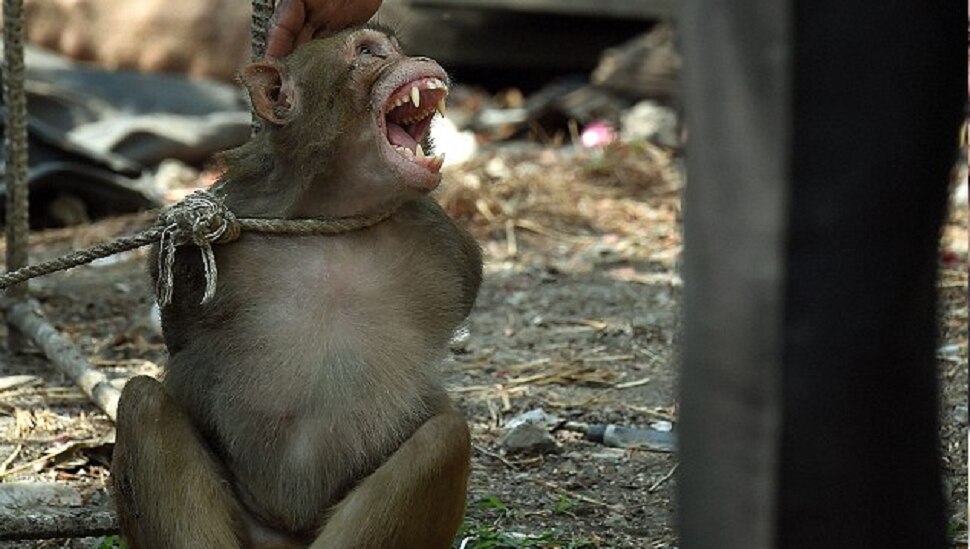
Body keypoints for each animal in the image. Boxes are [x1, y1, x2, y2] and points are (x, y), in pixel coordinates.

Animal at [110, 23, 484, 544]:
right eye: (368, 52)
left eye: (398, 48)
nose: (423, 60)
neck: (334, 214)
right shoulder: (221, 225)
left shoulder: (447, 241)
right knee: (142, 403)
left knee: (445, 438)